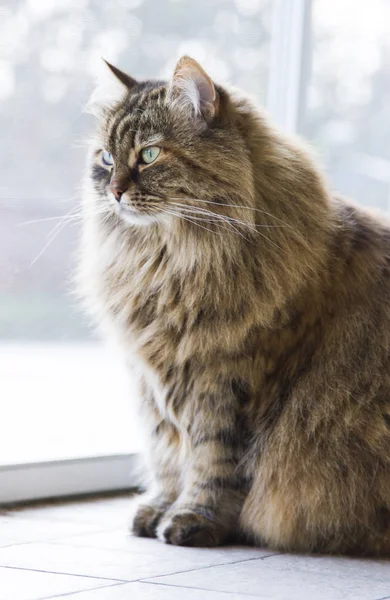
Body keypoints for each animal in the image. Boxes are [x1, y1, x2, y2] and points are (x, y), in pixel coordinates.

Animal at [77, 55, 390, 552]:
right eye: (106, 158)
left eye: (149, 155)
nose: (114, 191)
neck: (167, 264)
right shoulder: (153, 385)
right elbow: (166, 457)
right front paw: (158, 509)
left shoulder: (228, 379)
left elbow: (212, 464)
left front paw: (193, 520)